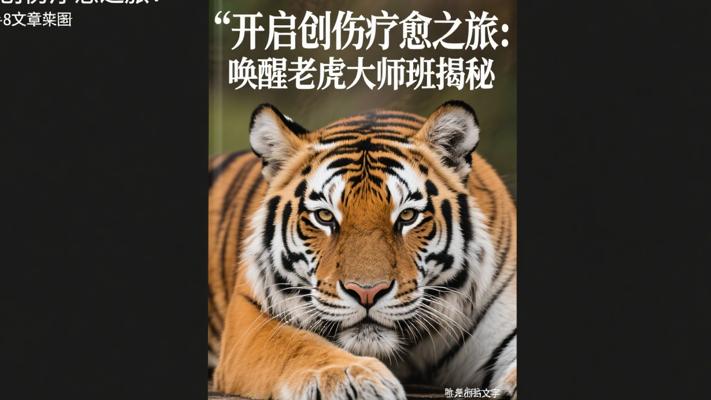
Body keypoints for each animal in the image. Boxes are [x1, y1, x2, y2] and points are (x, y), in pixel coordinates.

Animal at [208, 100, 517, 400]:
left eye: (407, 216)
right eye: (324, 216)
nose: (367, 292)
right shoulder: (251, 317)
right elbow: (297, 344)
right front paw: (349, 378)